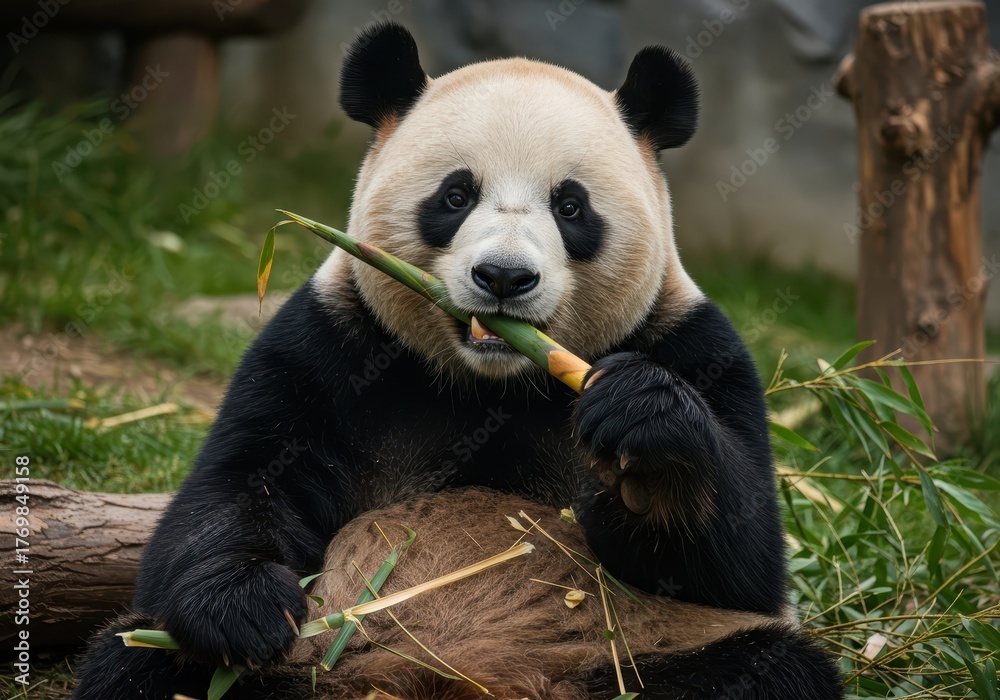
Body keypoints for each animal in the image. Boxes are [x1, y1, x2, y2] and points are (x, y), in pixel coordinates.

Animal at [74, 22, 843, 700]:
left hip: (634, 654)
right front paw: (245, 610)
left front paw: (640, 430)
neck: (492, 382)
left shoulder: (693, 344)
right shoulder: (325, 344)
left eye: (571, 207)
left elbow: (740, 565)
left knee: (774, 668)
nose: (504, 277)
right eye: (455, 194)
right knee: (137, 663)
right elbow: (236, 487)